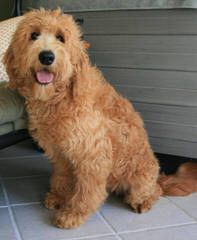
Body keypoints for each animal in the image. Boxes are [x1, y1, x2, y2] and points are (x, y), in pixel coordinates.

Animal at [3, 8, 162, 228]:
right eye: (33, 35)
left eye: (61, 38)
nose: (47, 56)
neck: (59, 98)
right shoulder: (60, 153)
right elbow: (61, 176)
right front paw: (58, 196)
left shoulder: (93, 155)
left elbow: (88, 190)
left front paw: (74, 213)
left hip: (141, 178)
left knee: (154, 192)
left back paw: (143, 201)